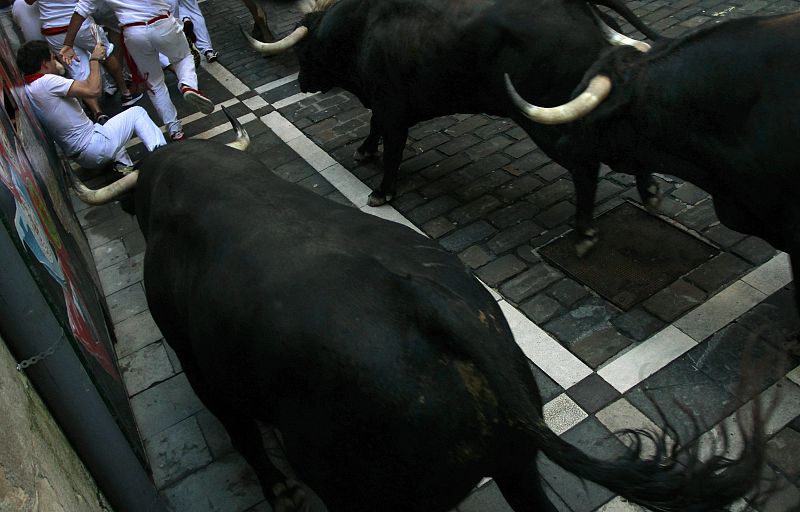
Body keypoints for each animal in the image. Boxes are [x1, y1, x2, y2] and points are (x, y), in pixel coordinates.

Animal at [247, 0, 660, 256]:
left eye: (304, 53)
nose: (301, 81)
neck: (360, 29)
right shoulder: (385, 105)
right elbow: (375, 128)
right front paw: (365, 150)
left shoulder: (391, 105)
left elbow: (392, 147)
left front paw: (382, 191)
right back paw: (650, 193)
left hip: (547, 119)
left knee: (586, 166)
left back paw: (586, 231)